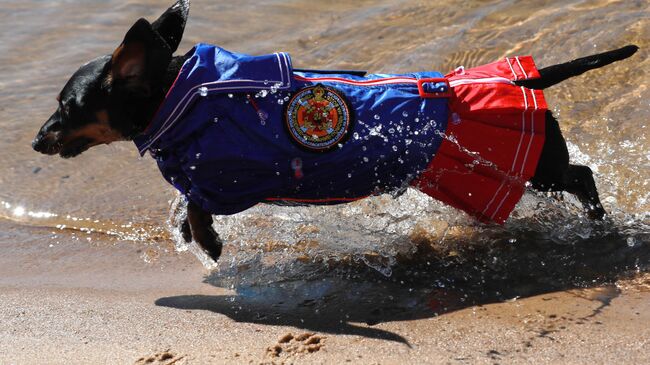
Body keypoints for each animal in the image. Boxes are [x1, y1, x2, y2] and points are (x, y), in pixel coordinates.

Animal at [33, 0, 636, 262]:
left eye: (68, 105)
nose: (37, 139)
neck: (183, 97)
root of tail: (526, 77)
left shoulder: (237, 176)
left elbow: (199, 205)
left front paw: (207, 241)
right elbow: (187, 201)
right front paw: (189, 232)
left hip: (533, 167)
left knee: (582, 175)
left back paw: (599, 223)